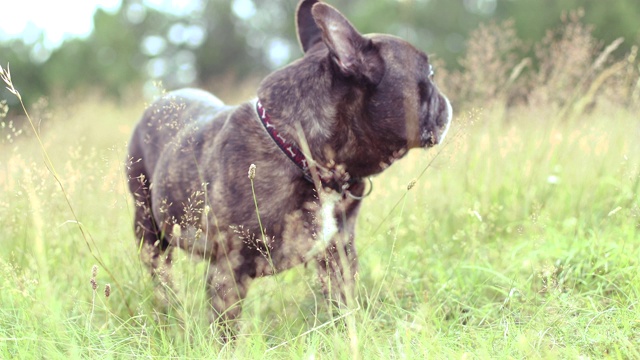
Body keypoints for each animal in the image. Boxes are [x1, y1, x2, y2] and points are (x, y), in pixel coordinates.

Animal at [127, 0, 452, 328]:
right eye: (430, 74)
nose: (446, 101)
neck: (301, 156)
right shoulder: (228, 270)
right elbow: (226, 328)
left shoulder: (339, 252)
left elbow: (344, 304)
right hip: (148, 229)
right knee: (161, 276)